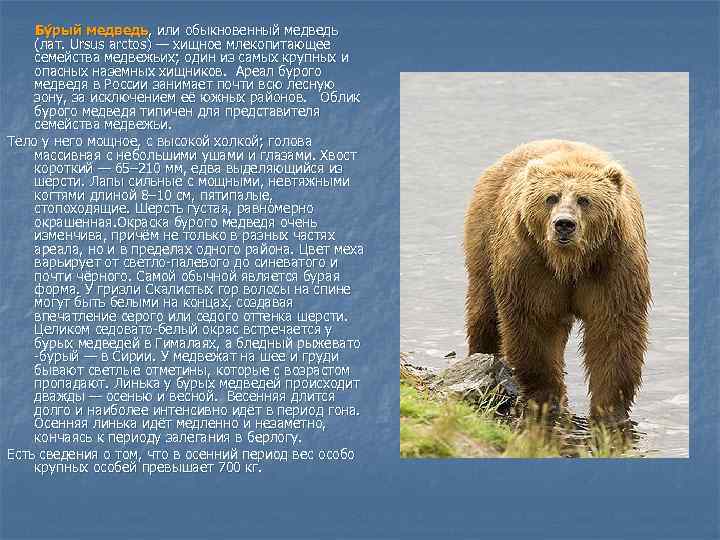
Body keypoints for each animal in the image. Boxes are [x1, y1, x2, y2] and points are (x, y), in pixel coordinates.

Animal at [464, 140, 651, 420]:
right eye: (551, 197)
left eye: (584, 199)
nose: (564, 224)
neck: (570, 263)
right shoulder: (531, 267)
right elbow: (535, 327)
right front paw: (548, 398)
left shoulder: (613, 268)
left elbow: (614, 332)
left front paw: (609, 409)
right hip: (484, 236)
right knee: (484, 309)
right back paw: (481, 355)